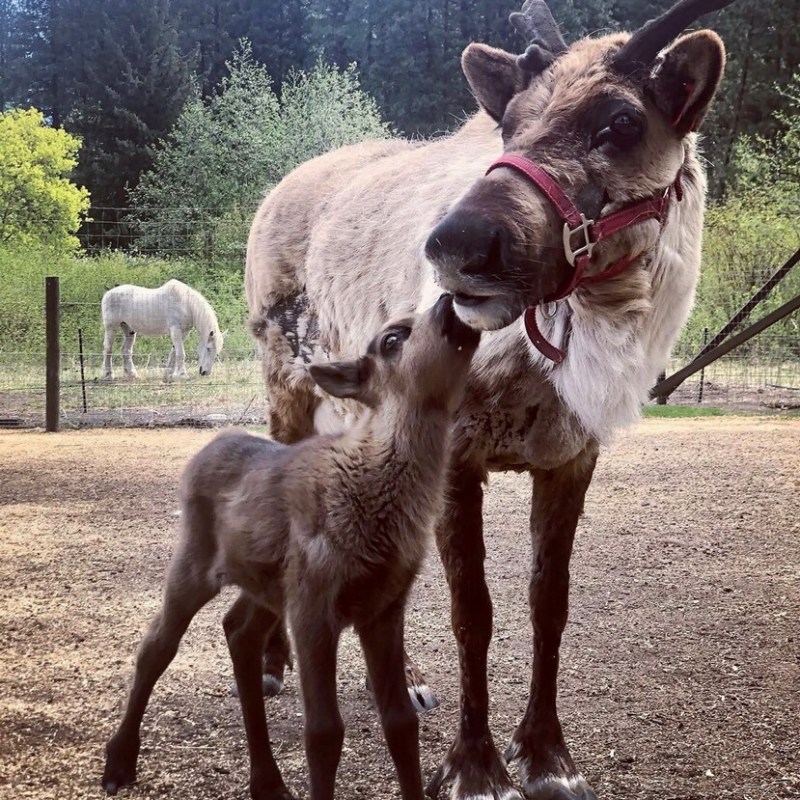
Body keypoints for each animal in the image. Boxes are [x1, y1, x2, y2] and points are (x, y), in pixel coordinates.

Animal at [101, 293, 481, 800]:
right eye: (391, 339)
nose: (447, 300)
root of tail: (205, 450)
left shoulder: (383, 605)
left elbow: (400, 721)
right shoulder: (314, 602)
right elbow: (323, 731)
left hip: (267, 582)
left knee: (238, 630)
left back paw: (267, 780)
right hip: (196, 559)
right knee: (156, 645)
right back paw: (119, 762)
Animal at [244, 1, 738, 797]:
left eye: (622, 122)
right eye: (508, 124)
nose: (454, 243)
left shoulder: (572, 456)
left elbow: (549, 603)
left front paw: (546, 756)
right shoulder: (457, 455)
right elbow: (471, 610)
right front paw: (475, 765)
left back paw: (402, 680)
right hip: (286, 384)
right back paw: (273, 664)